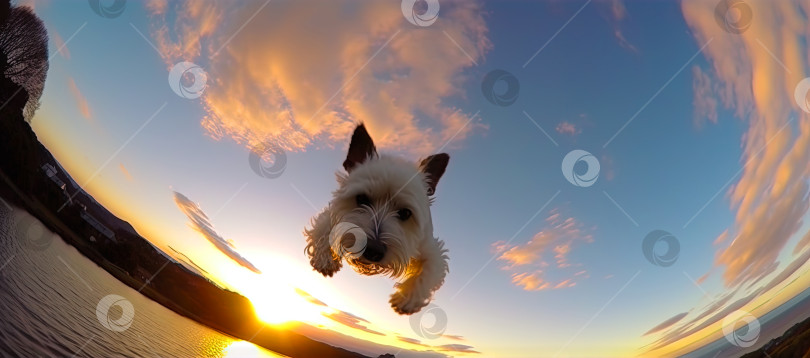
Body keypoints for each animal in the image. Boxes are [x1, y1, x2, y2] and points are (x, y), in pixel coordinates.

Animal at [304, 124, 448, 314]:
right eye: (362, 199)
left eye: (405, 213)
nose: (373, 250)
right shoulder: (335, 213)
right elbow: (325, 227)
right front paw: (325, 259)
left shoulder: (427, 246)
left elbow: (430, 268)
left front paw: (407, 298)